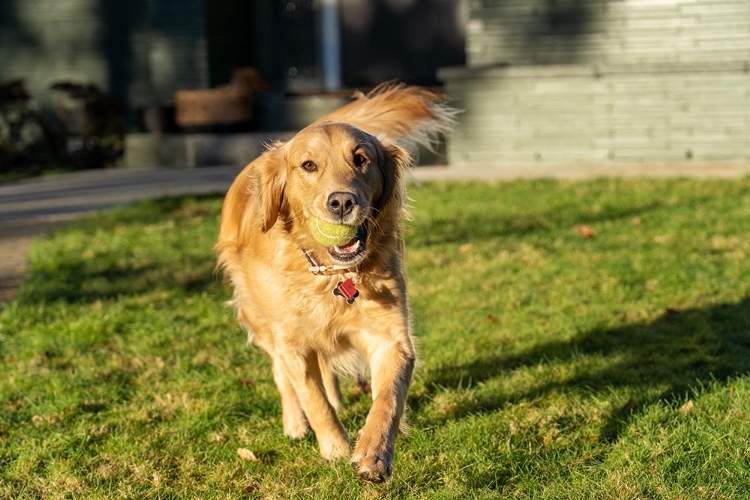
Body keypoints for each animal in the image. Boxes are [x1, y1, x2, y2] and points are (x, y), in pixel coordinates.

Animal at [216, 84, 452, 482]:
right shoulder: (292, 342)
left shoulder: (392, 337)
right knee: (281, 372)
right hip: (259, 318)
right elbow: (313, 399)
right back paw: (295, 422)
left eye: (361, 159)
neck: (333, 275)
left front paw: (373, 453)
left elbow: (388, 397)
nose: (341, 202)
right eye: (308, 165)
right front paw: (335, 448)